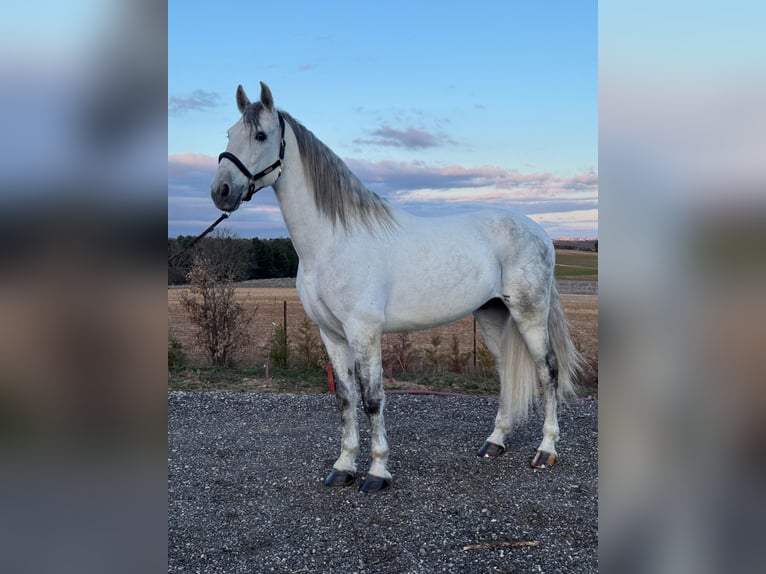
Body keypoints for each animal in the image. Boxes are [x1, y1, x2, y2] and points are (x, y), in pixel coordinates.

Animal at [210, 82, 582, 493]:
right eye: (229, 133)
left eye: (260, 135)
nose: (221, 191)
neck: (333, 241)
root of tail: (541, 233)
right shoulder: (331, 334)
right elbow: (345, 399)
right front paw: (343, 467)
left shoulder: (364, 332)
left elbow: (372, 399)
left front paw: (377, 472)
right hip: (491, 314)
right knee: (504, 371)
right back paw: (494, 442)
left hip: (530, 313)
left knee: (548, 370)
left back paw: (546, 450)